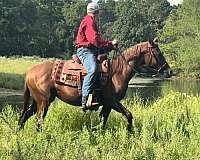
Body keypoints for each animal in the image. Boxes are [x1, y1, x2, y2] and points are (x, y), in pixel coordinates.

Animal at [18, 39, 172, 131]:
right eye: (158, 52)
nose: (169, 71)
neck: (117, 72)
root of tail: (29, 72)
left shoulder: (107, 104)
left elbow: (103, 121)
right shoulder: (111, 101)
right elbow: (128, 115)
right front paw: (129, 134)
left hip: (39, 101)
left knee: (25, 116)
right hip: (43, 102)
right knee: (38, 120)